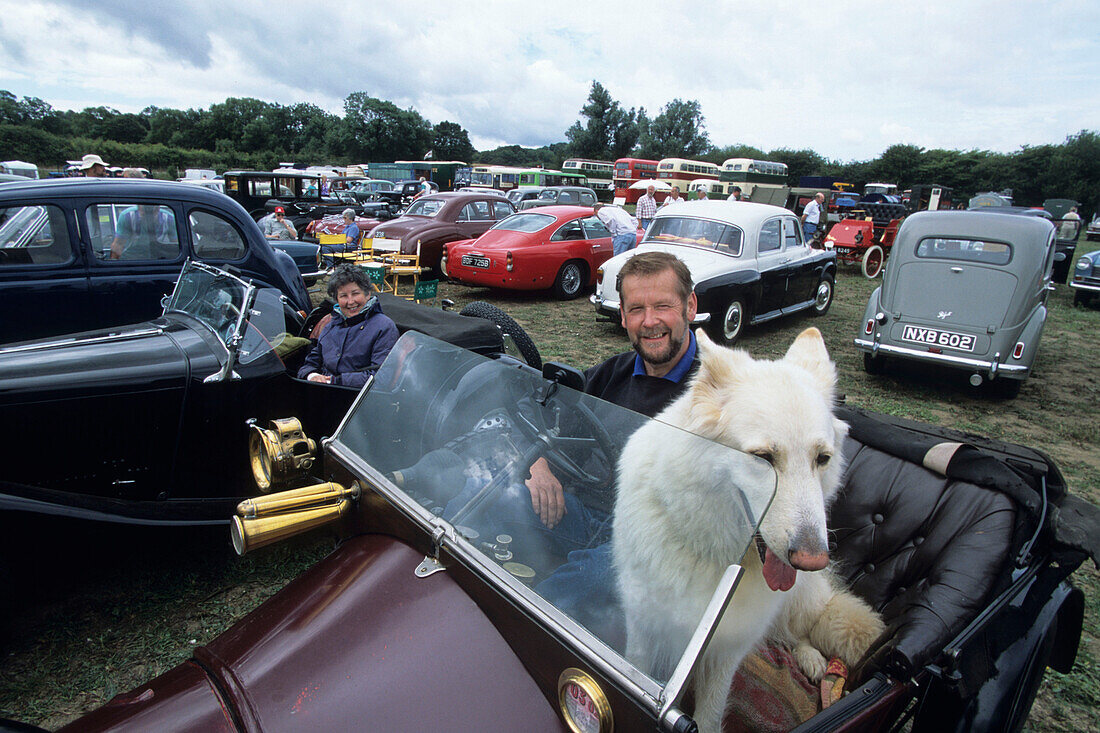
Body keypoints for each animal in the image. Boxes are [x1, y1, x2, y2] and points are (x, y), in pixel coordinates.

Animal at [616, 325, 880, 730]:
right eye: (763, 458)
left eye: (822, 459)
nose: (812, 560)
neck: (712, 551)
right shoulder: (643, 630)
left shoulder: (726, 651)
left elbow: (710, 715)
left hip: (801, 600)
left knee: (800, 630)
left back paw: (812, 659)